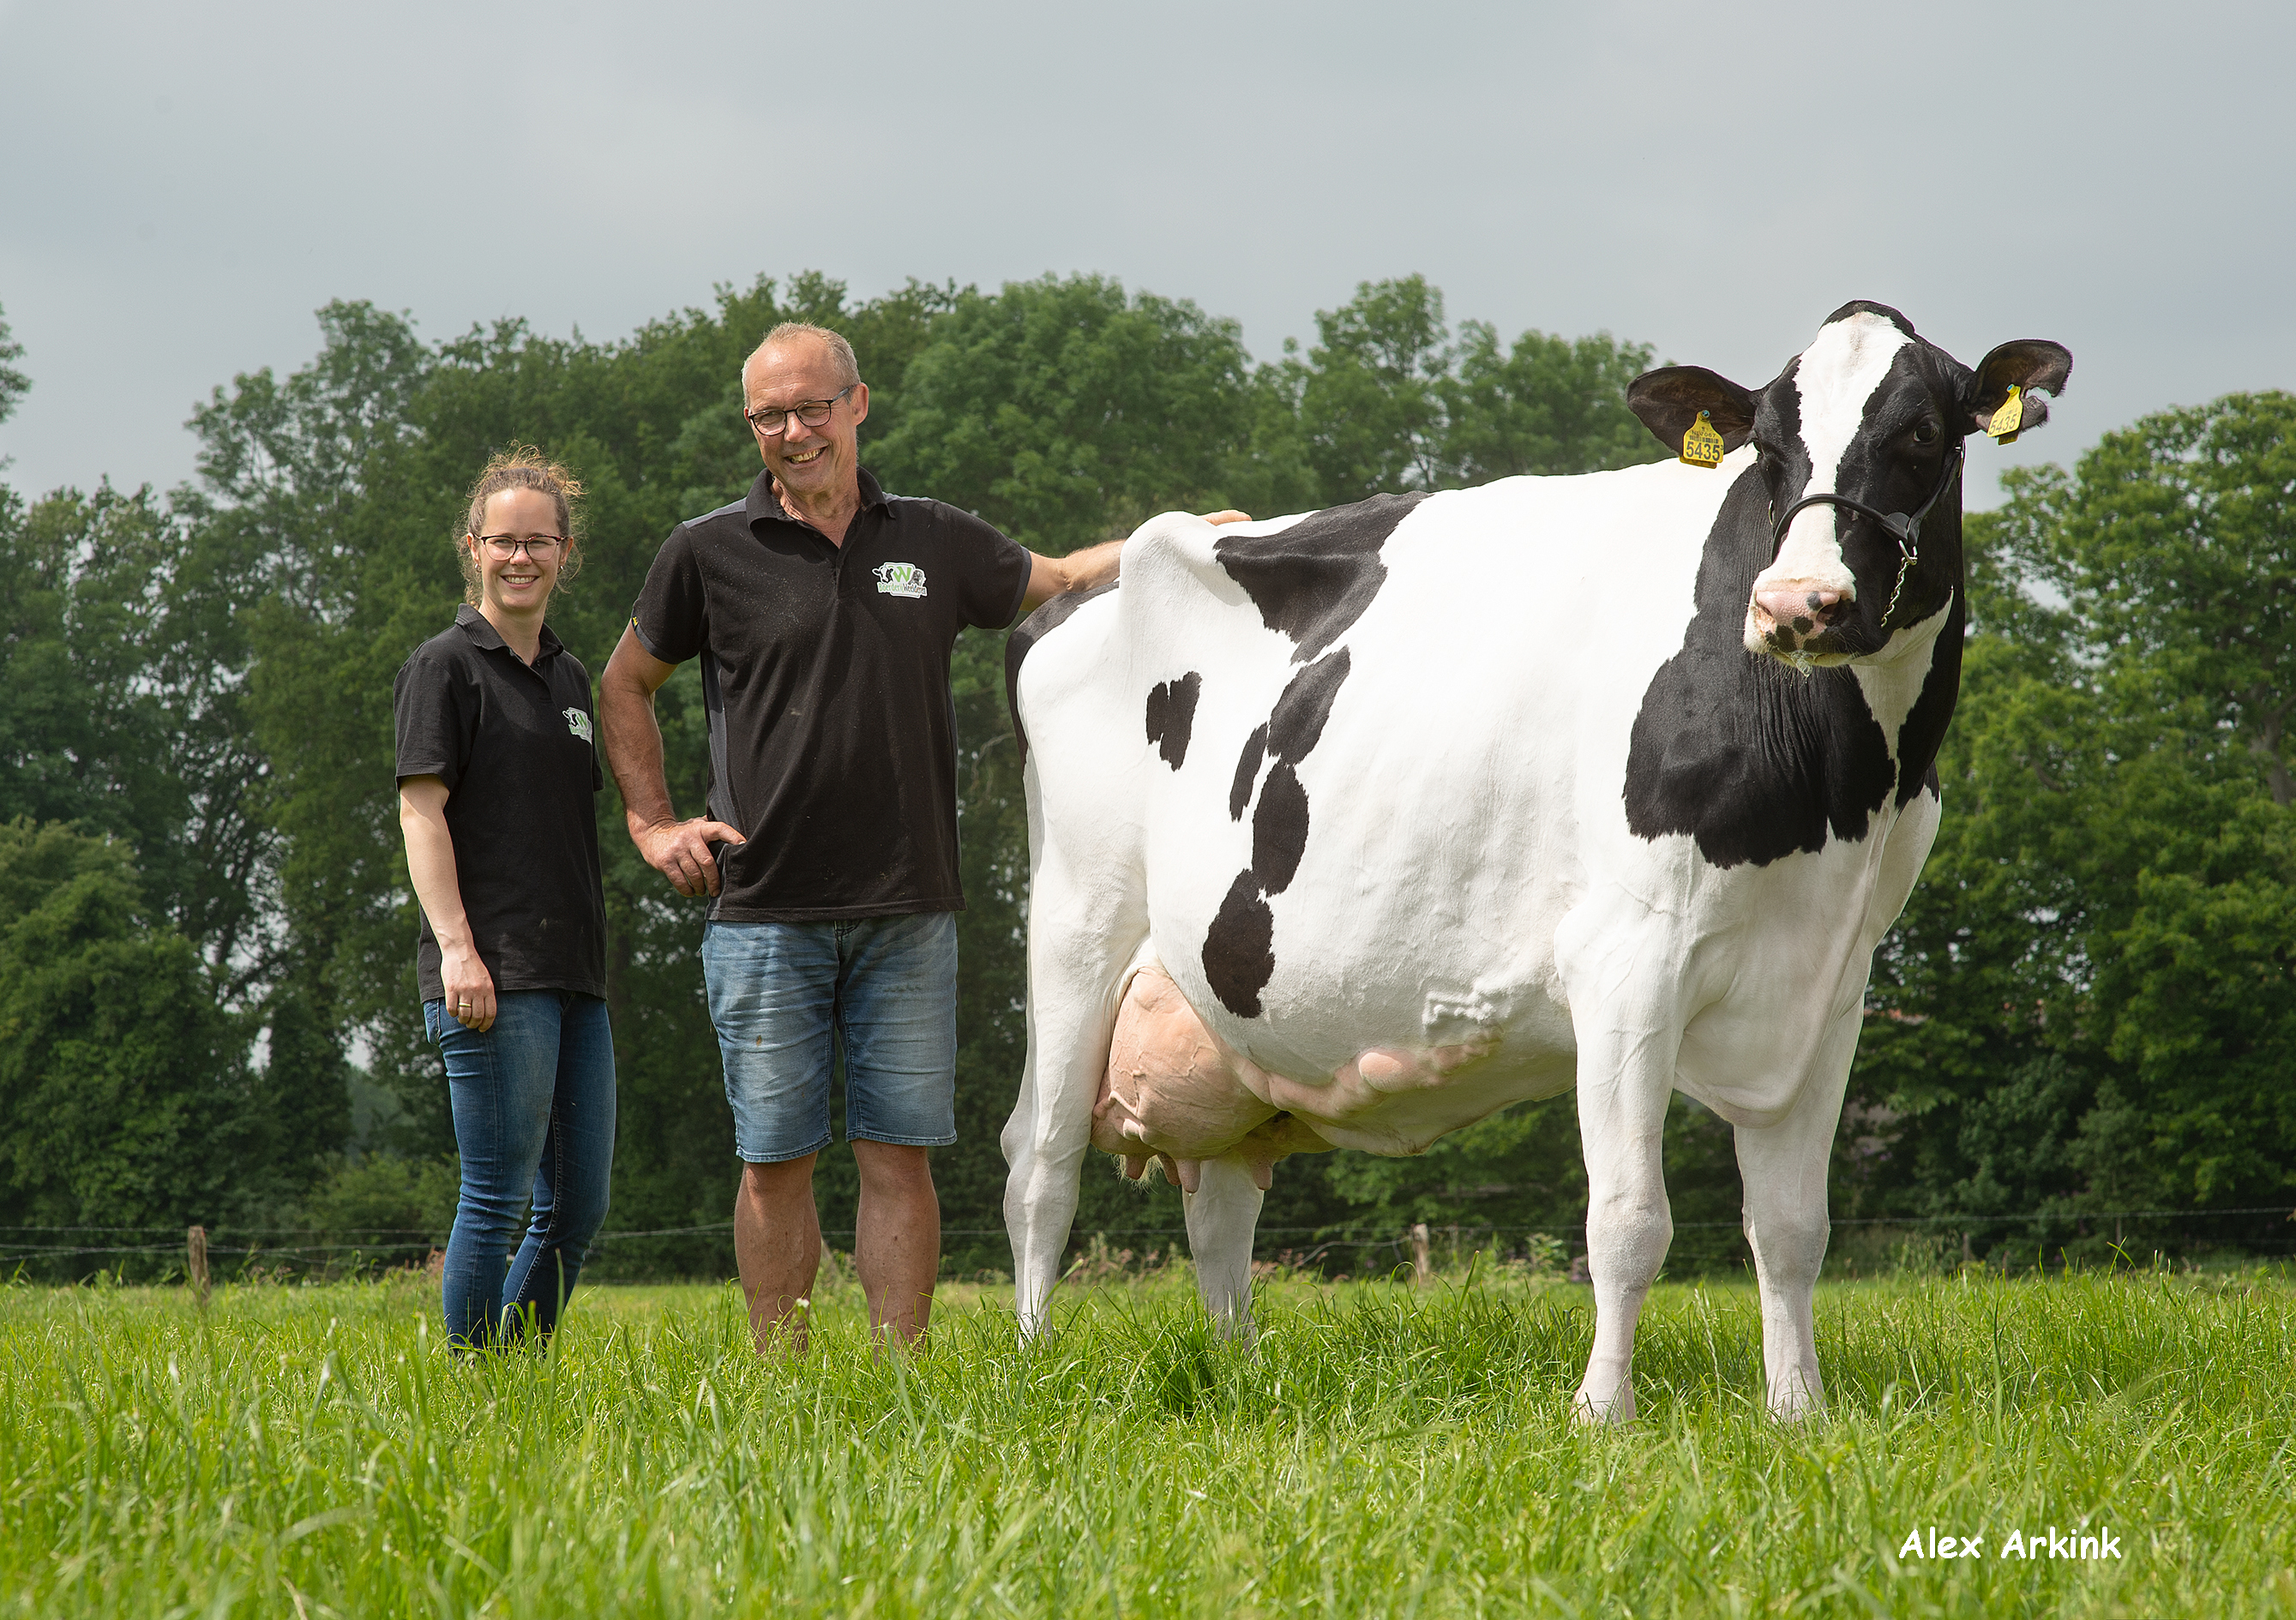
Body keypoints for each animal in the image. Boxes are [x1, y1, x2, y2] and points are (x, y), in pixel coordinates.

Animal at [996, 303, 2075, 1413]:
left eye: (1920, 433)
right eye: (1767, 447)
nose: (1794, 605)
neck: (1835, 782)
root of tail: (1080, 590)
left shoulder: (1831, 983)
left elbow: (1790, 1229)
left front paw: (1796, 1412)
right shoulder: (1625, 960)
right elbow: (1628, 1221)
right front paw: (1602, 1412)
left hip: (1221, 1012)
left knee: (1218, 1202)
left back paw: (1239, 1370)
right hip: (1073, 928)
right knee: (1039, 1162)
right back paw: (1034, 1364)